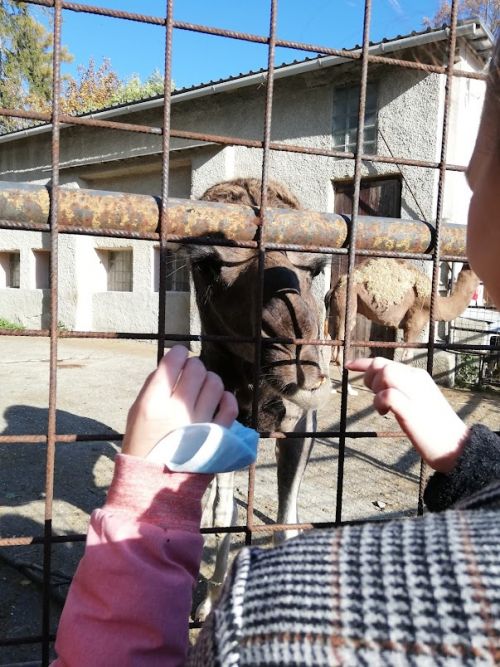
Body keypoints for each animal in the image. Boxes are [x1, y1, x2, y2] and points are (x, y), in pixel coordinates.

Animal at [185, 177, 332, 620]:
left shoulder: (299, 427)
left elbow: (285, 521)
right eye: (207, 264)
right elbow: (225, 512)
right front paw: (209, 602)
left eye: (315, 268)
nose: (298, 356)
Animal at [326, 258, 478, 370]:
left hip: (336, 309)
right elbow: (407, 357)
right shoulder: (414, 322)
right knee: (339, 348)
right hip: (348, 301)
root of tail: (335, 287)